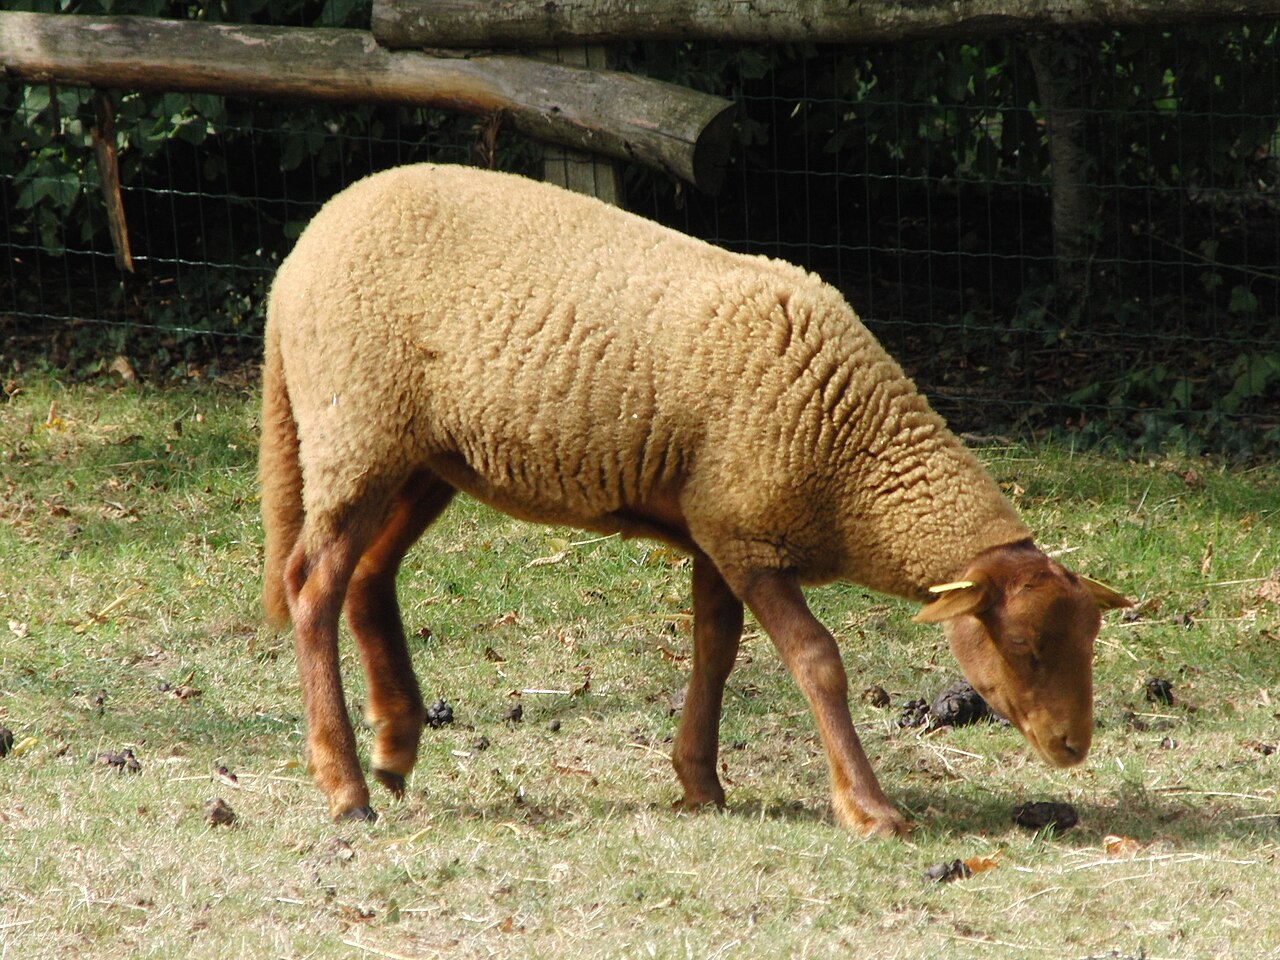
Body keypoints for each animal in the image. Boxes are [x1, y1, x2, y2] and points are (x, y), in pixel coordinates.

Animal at [259, 162, 1131, 837]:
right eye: (1023, 649)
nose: (1073, 747)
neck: (857, 455)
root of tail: (300, 254)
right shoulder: (748, 538)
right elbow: (817, 661)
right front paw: (870, 809)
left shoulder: (723, 526)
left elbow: (716, 647)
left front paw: (700, 782)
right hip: (356, 429)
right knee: (313, 588)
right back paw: (346, 788)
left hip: (425, 455)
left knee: (367, 578)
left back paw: (395, 747)